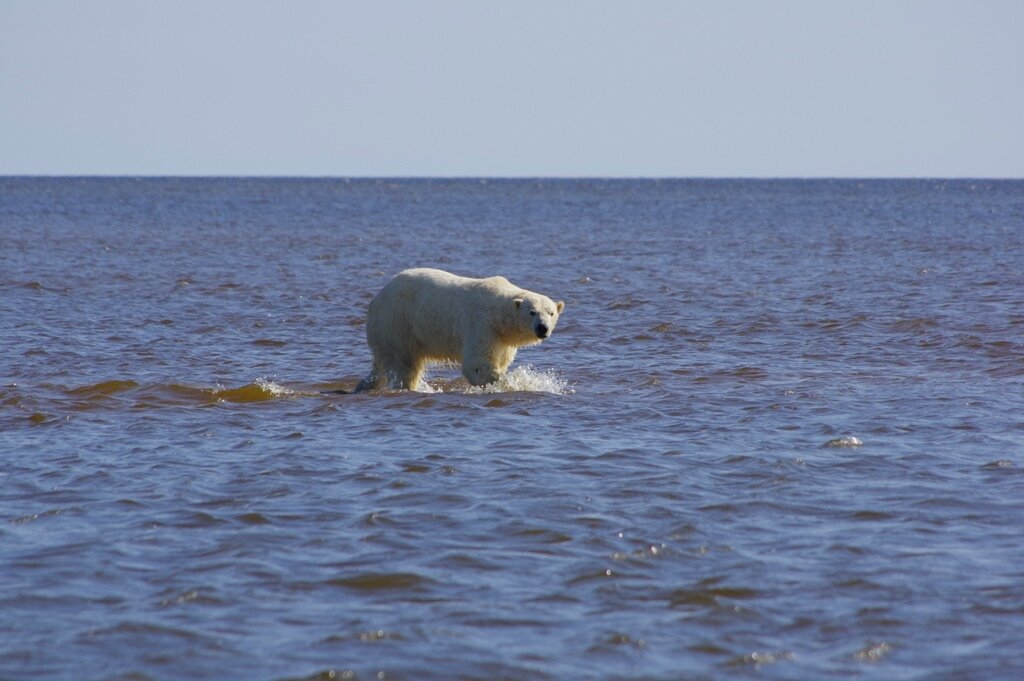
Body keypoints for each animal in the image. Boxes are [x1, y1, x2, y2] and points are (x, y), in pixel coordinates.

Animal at [358, 268, 569, 391]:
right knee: (404, 365)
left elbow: (500, 361)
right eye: (532, 312)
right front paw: (515, 382)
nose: (543, 328)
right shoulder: (481, 325)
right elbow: (479, 365)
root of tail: (377, 298)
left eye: (551, 313)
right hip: (398, 323)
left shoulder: (502, 340)